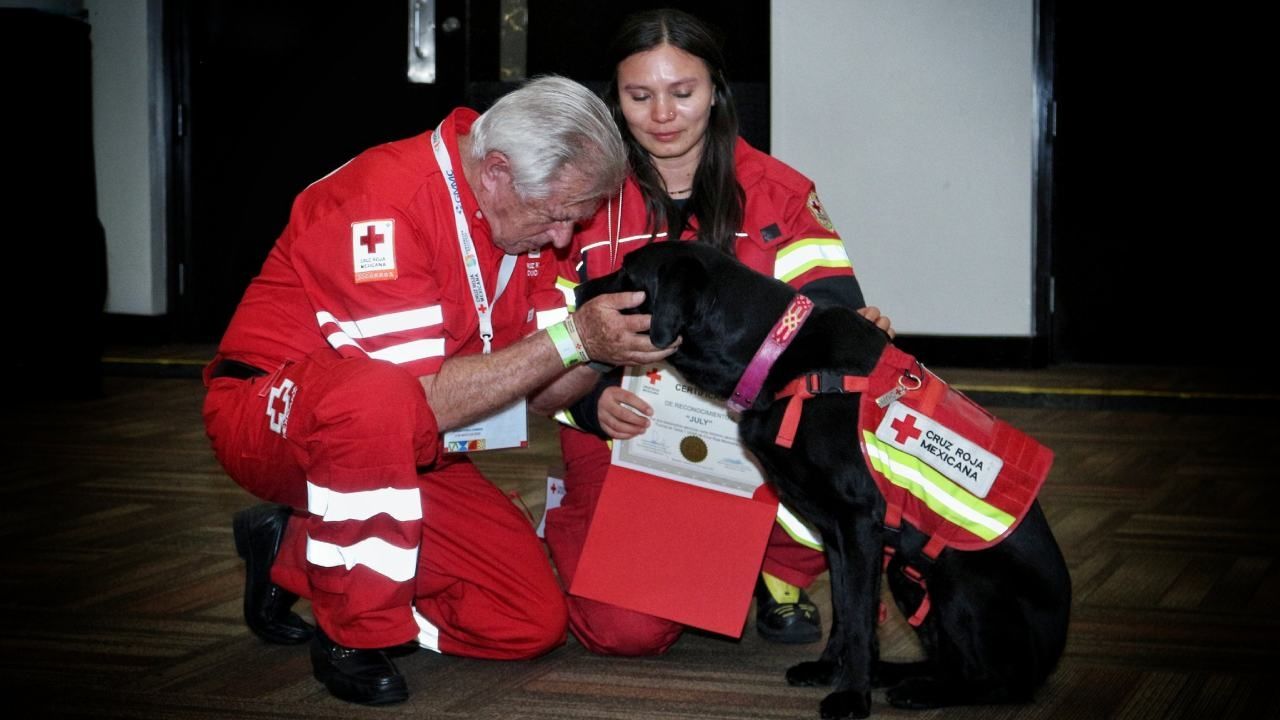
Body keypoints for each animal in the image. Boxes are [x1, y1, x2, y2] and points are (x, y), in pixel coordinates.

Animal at [581, 242, 1070, 717]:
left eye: (628, 272)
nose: (579, 289)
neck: (778, 358)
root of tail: (1053, 657)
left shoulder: (857, 522)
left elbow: (857, 619)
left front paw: (851, 696)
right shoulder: (837, 534)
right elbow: (845, 611)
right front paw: (830, 669)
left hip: (960, 580)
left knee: (998, 682)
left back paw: (921, 691)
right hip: (904, 572)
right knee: (948, 660)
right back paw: (896, 674)